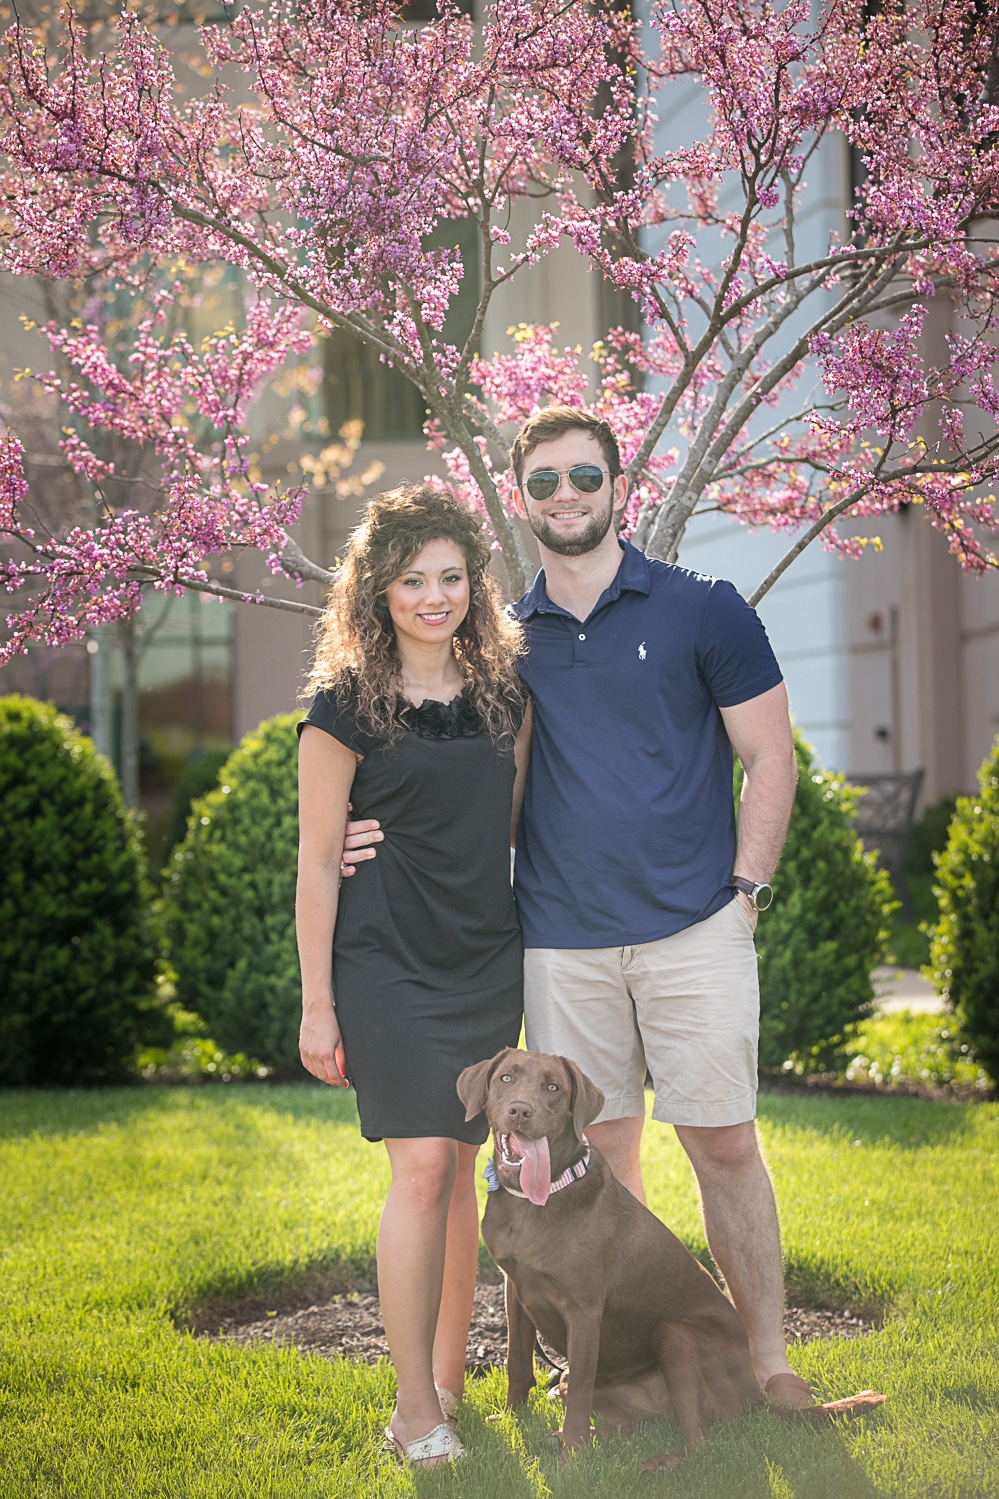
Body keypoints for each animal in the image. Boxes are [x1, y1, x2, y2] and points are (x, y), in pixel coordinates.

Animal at [456, 1043, 759, 1451]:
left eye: (553, 1087)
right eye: (505, 1078)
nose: (520, 1110)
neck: (537, 1199)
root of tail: (759, 1395)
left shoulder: (584, 1310)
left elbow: (582, 1387)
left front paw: (573, 1453)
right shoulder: (515, 1289)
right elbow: (516, 1361)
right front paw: (511, 1418)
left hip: (675, 1335)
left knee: (698, 1439)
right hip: (593, 1387)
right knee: (625, 1422)